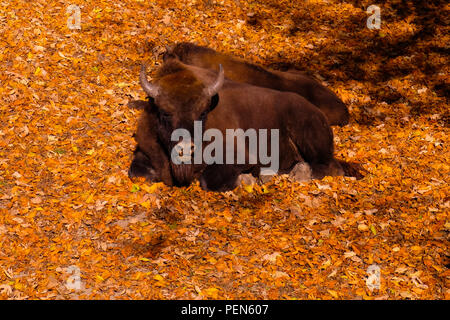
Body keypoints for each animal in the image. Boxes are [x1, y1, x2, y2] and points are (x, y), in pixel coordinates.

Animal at [128, 57, 356, 191]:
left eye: (202, 113)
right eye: (165, 112)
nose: (186, 148)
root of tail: (317, 112)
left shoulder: (240, 156)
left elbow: (208, 180)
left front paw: (249, 179)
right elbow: (137, 172)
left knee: (330, 166)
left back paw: (295, 173)